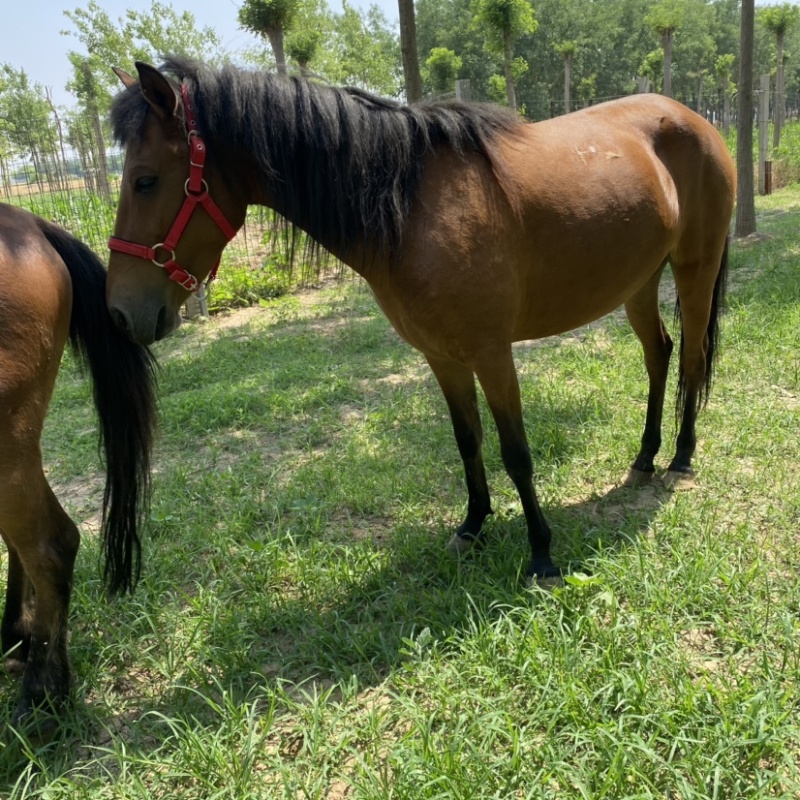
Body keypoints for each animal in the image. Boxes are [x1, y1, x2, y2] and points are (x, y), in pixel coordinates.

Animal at [106, 57, 735, 582]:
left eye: (145, 180)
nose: (119, 310)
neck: (408, 205)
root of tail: (693, 119)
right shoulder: (442, 356)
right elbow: (467, 440)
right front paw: (473, 525)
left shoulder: (491, 353)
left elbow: (516, 453)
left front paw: (541, 554)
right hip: (639, 282)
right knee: (659, 354)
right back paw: (645, 456)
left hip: (694, 269)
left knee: (694, 356)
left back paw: (680, 457)